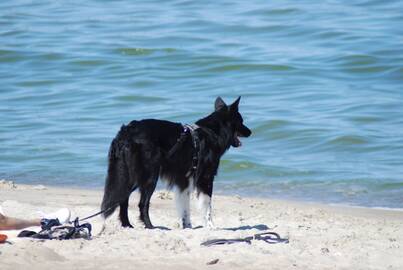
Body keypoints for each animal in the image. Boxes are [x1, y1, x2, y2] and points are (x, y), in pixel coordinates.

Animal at [100, 96, 251, 229]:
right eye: (241, 121)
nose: (250, 132)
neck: (213, 132)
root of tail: (125, 134)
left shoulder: (183, 180)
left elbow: (185, 206)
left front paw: (187, 226)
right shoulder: (205, 178)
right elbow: (207, 205)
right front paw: (211, 226)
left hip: (129, 175)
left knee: (123, 200)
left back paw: (127, 225)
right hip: (149, 176)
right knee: (142, 203)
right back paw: (150, 226)